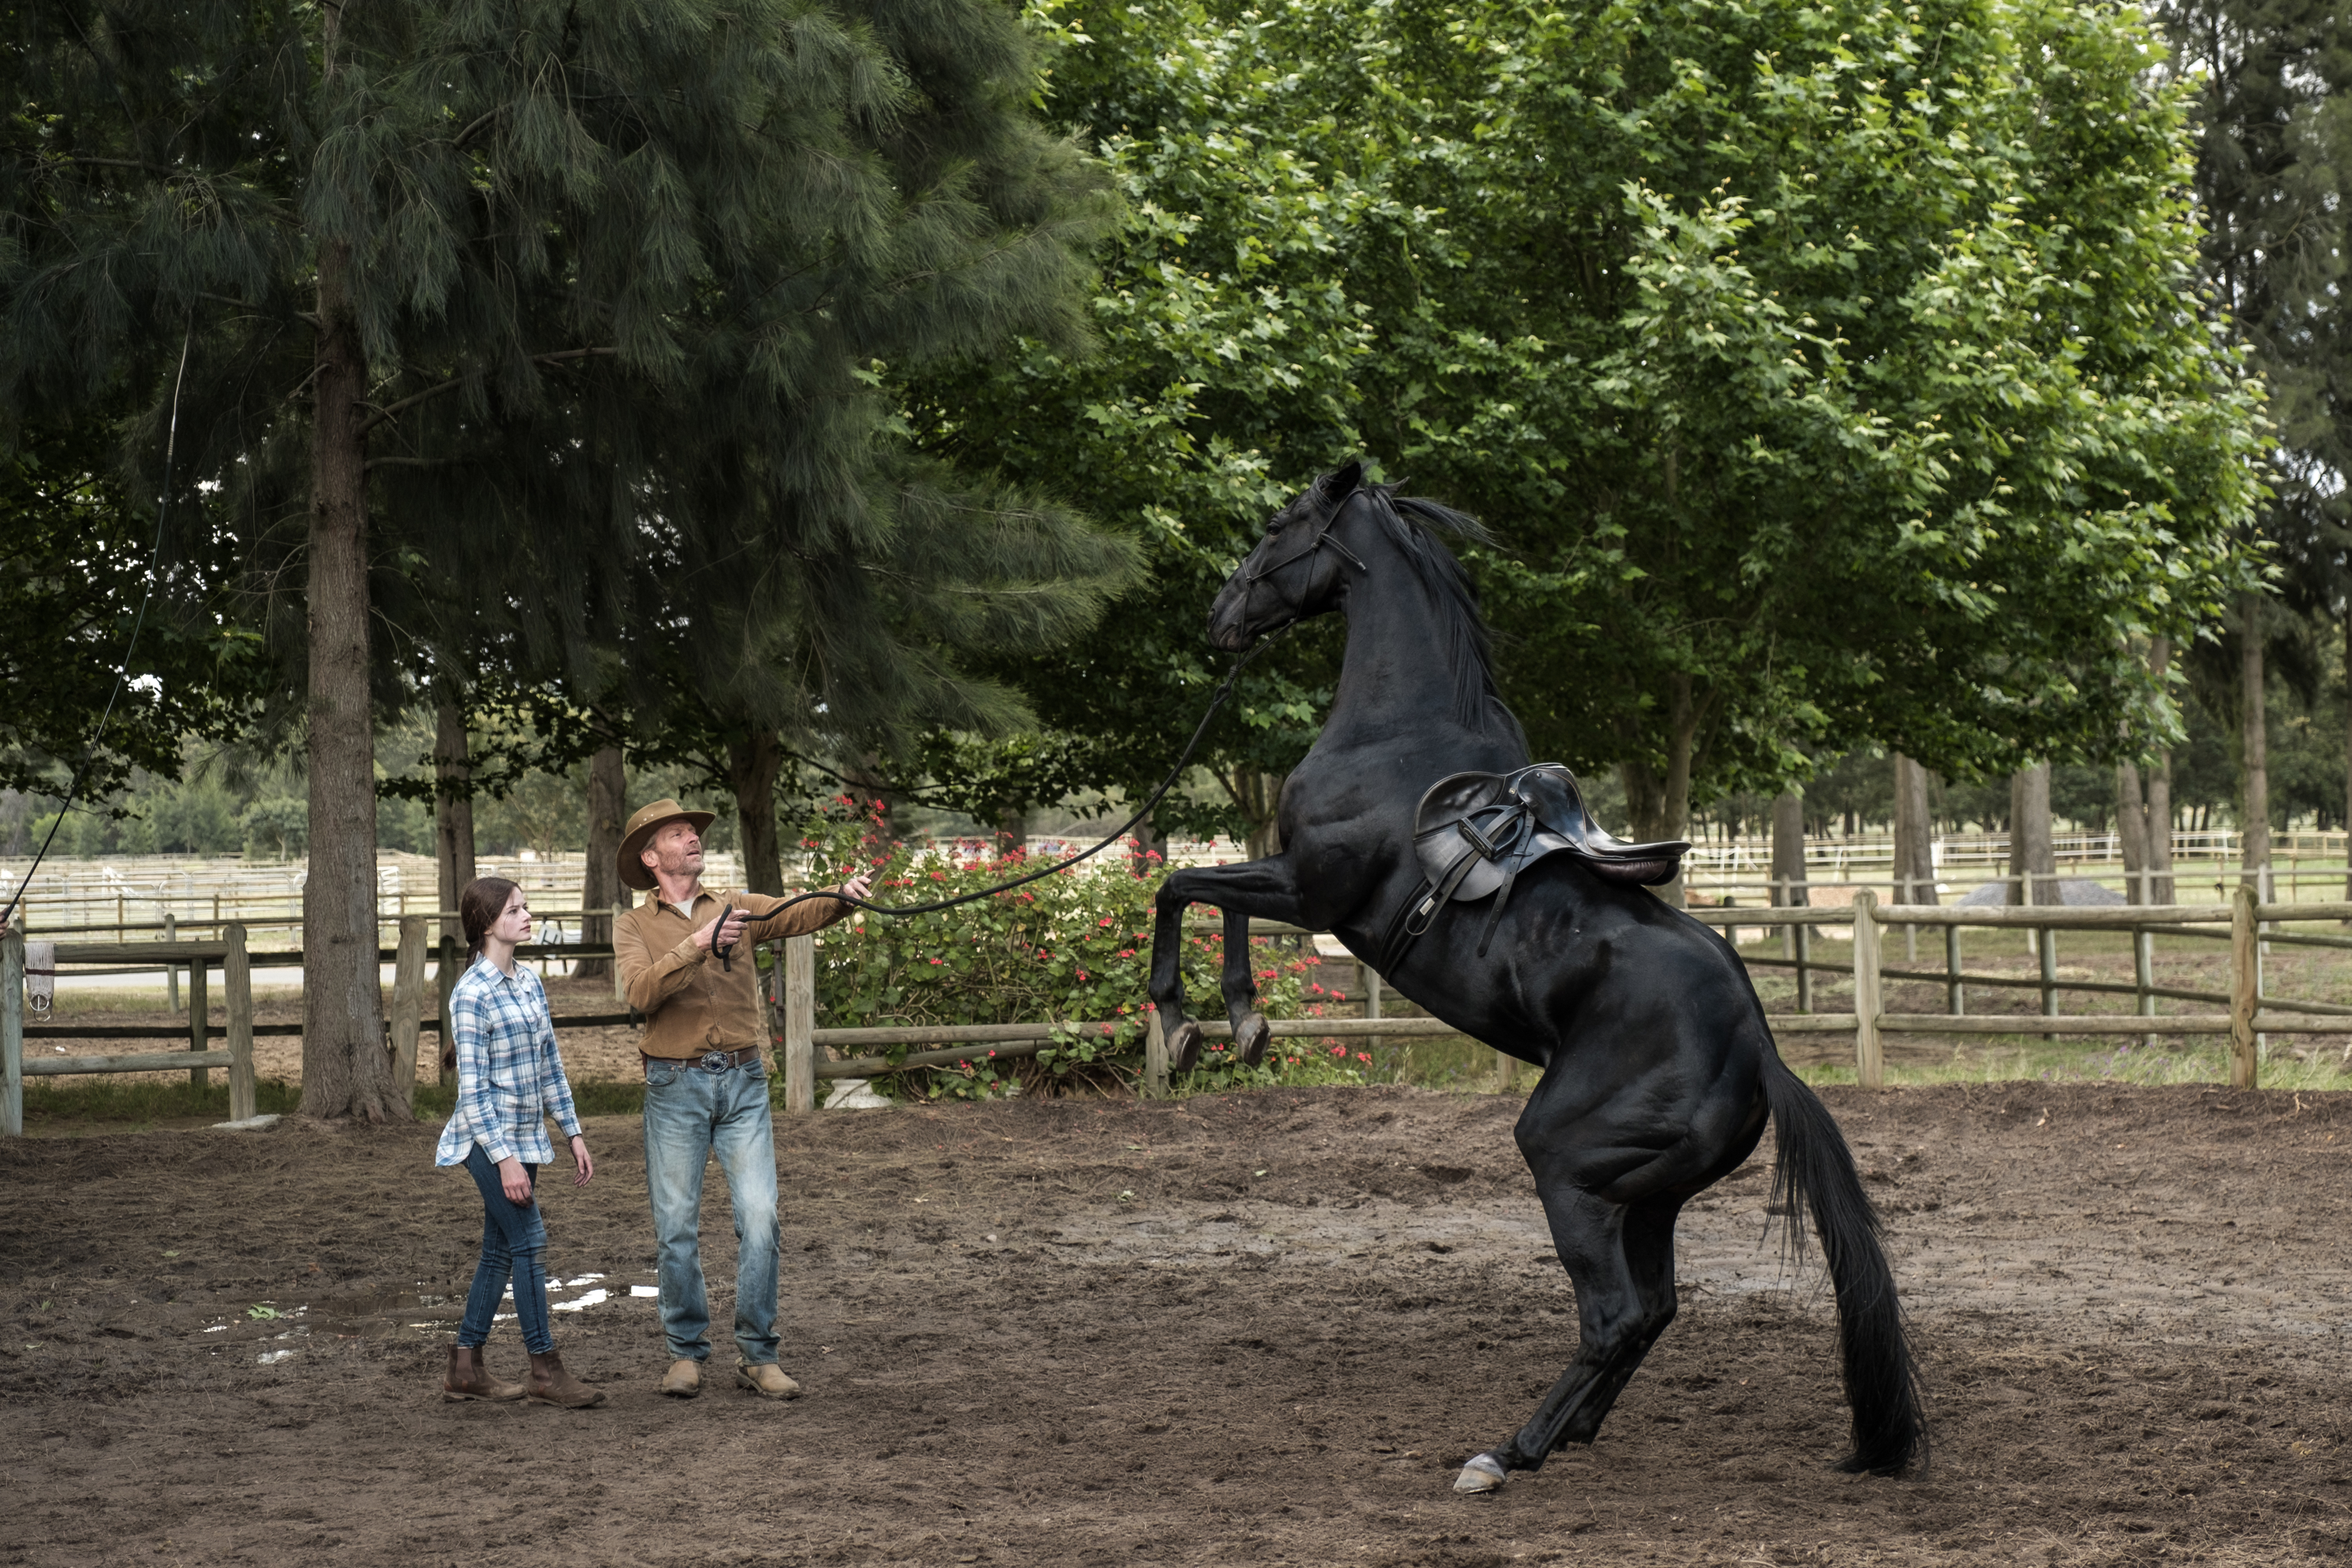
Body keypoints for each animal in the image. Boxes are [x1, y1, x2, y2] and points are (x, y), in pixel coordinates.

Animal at [1145, 461, 1924, 1489]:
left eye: (1277, 526)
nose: (1221, 613)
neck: (1396, 733)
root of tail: (1758, 1048)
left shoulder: (1313, 892)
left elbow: (1183, 885)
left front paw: (1193, 1019)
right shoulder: (1301, 891)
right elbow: (1209, 896)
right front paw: (1238, 1022)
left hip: (1566, 1163)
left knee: (1615, 1314)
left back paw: (1509, 1450)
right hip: (1645, 1195)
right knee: (1654, 1309)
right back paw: (1573, 1428)